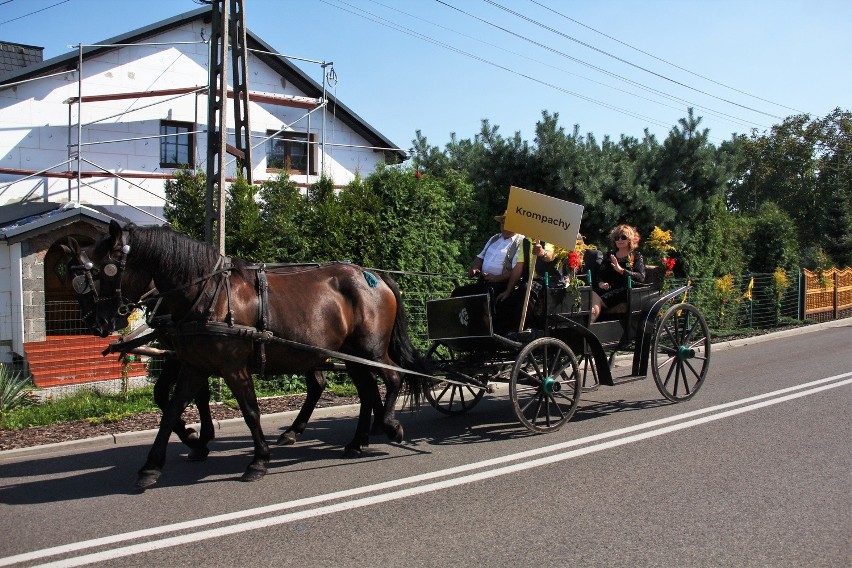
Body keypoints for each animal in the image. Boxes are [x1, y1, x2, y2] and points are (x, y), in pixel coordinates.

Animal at [65, 220, 424, 490]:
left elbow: (250, 412)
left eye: (101, 271)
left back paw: (389, 425)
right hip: (348, 354)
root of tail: (373, 276)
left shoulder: (231, 367)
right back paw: (355, 440)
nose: (98, 323)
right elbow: (171, 408)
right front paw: (157, 464)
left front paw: (257, 460)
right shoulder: (193, 365)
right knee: (363, 390)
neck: (205, 294)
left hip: (369, 349)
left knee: (392, 378)